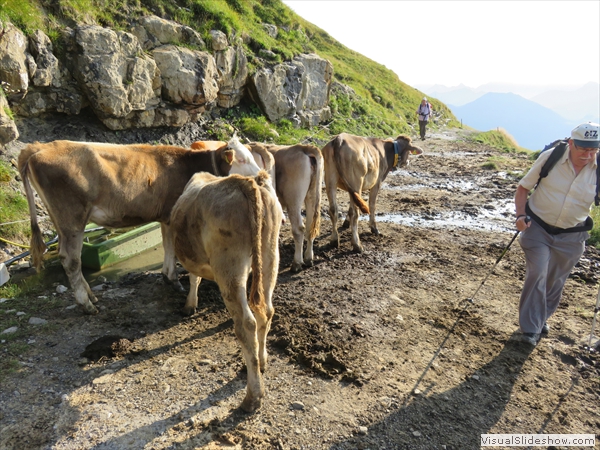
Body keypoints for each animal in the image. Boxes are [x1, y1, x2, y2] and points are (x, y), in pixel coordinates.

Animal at [18, 135, 262, 314]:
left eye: (252, 156)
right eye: (241, 160)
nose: (261, 175)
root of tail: (39, 147)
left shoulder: (166, 216)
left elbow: (167, 246)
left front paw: (169, 278)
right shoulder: (173, 215)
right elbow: (172, 248)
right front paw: (174, 280)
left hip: (60, 220)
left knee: (67, 257)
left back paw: (91, 296)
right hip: (72, 218)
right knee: (70, 259)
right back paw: (86, 304)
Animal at [169, 171, 282, 414]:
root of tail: (246, 181)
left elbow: (193, 277)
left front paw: (189, 304)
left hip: (229, 266)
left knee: (246, 324)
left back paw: (252, 398)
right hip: (270, 254)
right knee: (266, 312)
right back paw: (260, 362)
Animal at [247, 142, 326, 272]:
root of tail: (303, 147)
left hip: (293, 198)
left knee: (298, 229)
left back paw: (296, 263)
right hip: (312, 195)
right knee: (310, 227)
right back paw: (308, 259)